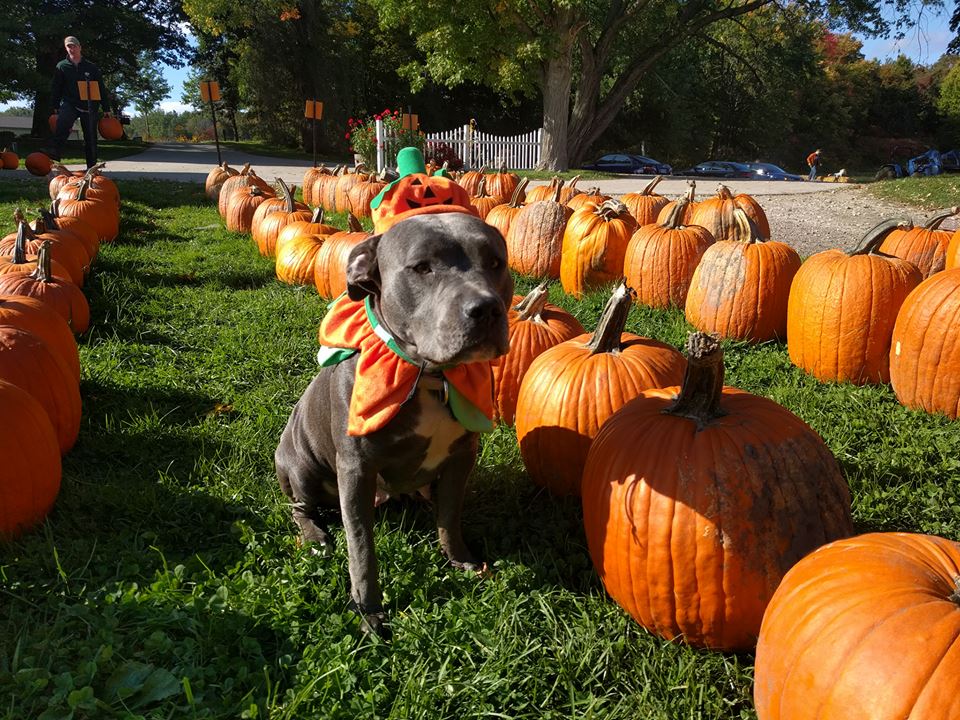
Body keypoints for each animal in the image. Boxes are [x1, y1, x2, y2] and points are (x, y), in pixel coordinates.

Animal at [274, 212, 512, 636]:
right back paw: (316, 536)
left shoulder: (462, 457)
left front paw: (460, 558)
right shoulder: (356, 470)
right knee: (301, 508)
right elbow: (361, 547)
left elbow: (450, 515)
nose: (486, 308)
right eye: (422, 267)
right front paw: (368, 609)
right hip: (302, 466)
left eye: (496, 262)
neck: (430, 376)